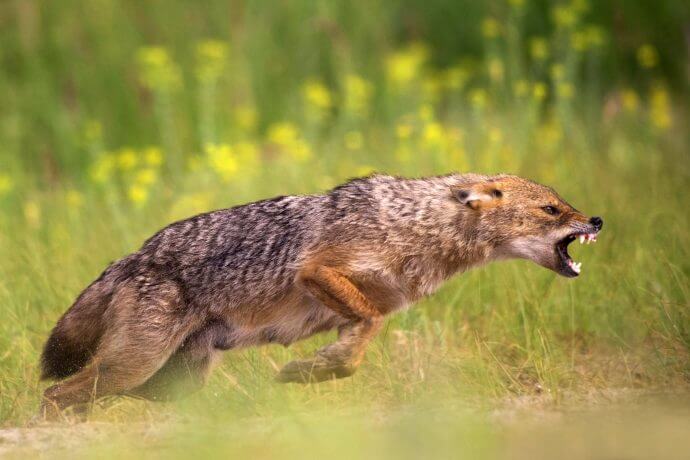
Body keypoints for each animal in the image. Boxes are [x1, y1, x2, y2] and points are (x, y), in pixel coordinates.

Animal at [39, 173, 602, 418]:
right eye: (553, 209)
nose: (596, 220)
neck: (415, 226)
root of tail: (130, 258)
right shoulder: (316, 271)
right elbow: (367, 327)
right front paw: (312, 369)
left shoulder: (361, 304)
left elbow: (359, 341)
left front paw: (315, 369)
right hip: (135, 366)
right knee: (57, 393)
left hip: (170, 382)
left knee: (95, 395)